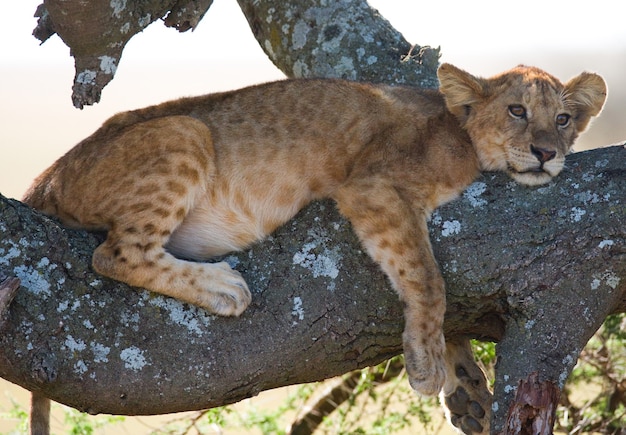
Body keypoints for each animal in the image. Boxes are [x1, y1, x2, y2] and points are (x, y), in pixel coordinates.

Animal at [22, 63, 604, 434]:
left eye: (563, 119)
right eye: (516, 111)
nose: (547, 153)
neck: (458, 132)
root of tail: (47, 177)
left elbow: (441, 298)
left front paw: (466, 392)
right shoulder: (373, 187)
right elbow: (428, 278)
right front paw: (426, 362)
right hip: (184, 132)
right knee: (114, 253)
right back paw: (223, 287)